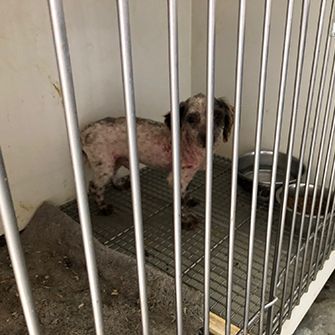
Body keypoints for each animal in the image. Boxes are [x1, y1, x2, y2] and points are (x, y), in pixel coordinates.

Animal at [81, 92, 235, 228]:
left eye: (217, 115)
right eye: (191, 119)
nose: (208, 139)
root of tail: (86, 131)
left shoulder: (187, 175)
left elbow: (186, 192)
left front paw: (189, 199)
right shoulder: (177, 178)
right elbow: (180, 203)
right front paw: (185, 220)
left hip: (115, 159)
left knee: (112, 175)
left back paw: (119, 184)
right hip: (104, 166)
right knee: (94, 186)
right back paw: (102, 207)